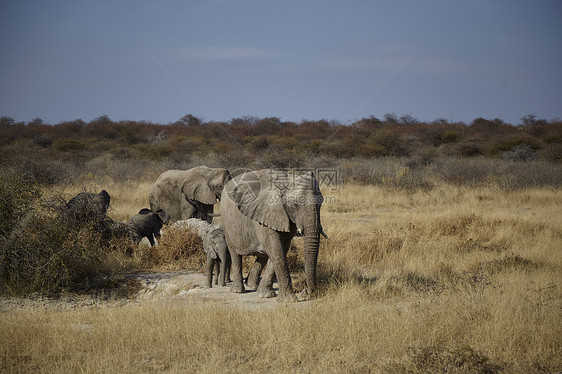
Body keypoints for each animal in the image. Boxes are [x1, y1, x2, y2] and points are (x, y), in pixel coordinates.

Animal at [219, 168, 324, 302]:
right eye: (294, 205)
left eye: (321, 203)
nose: (305, 292)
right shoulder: (264, 212)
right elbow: (275, 248)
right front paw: (289, 300)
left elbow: (282, 248)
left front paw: (266, 295)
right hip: (225, 219)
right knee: (235, 253)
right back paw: (238, 291)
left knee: (262, 255)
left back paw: (253, 286)